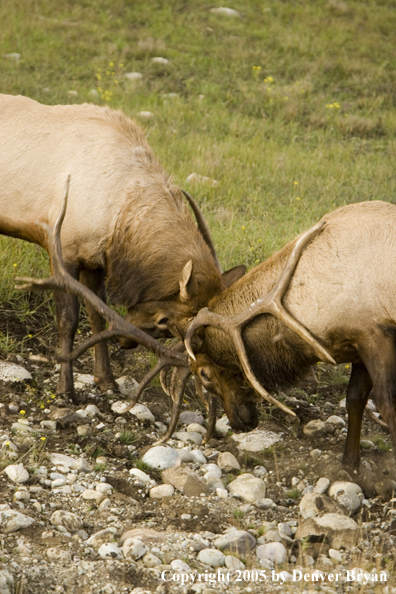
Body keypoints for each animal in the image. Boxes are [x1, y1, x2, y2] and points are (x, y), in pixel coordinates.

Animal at [0, 93, 243, 402]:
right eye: (164, 320)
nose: (126, 340)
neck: (114, 219)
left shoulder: (94, 260)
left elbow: (97, 315)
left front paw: (106, 380)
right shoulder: (62, 248)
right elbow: (68, 320)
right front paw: (65, 391)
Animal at [176, 199, 396, 468]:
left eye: (204, 373)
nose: (238, 423)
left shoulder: (375, 333)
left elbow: (386, 406)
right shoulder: (359, 343)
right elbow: (355, 400)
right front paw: (350, 463)